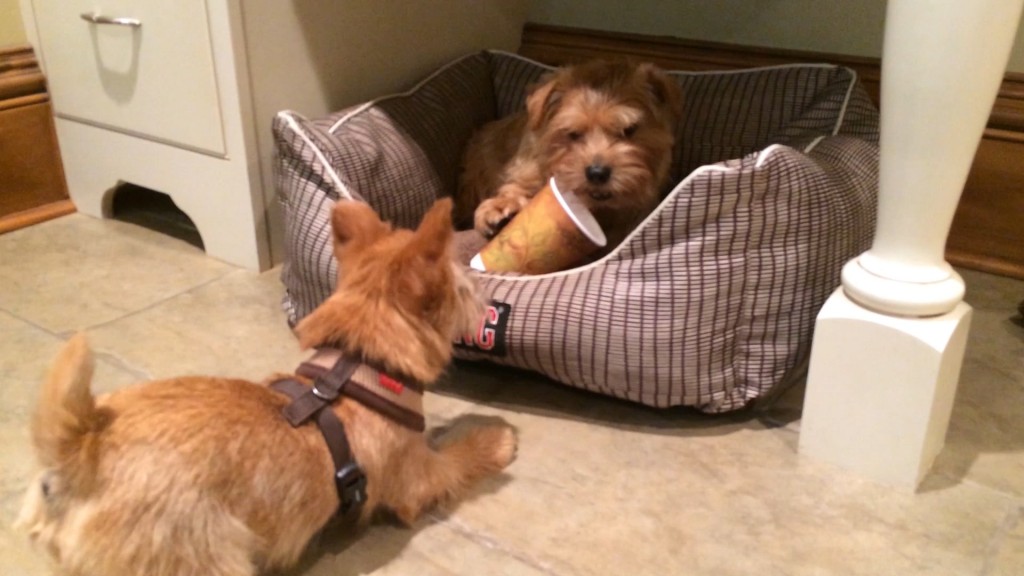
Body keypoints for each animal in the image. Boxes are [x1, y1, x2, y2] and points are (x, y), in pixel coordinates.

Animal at [22, 198, 520, 573]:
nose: (485, 297)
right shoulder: (419, 480)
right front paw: (497, 440)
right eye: (460, 286)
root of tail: (82, 444)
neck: (357, 358)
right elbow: (458, 457)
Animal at [458, 57, 684, 247]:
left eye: (628, 130)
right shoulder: (525, 174)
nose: (597, 173)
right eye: (572, 133)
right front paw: (500, 207)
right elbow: (515, 188)